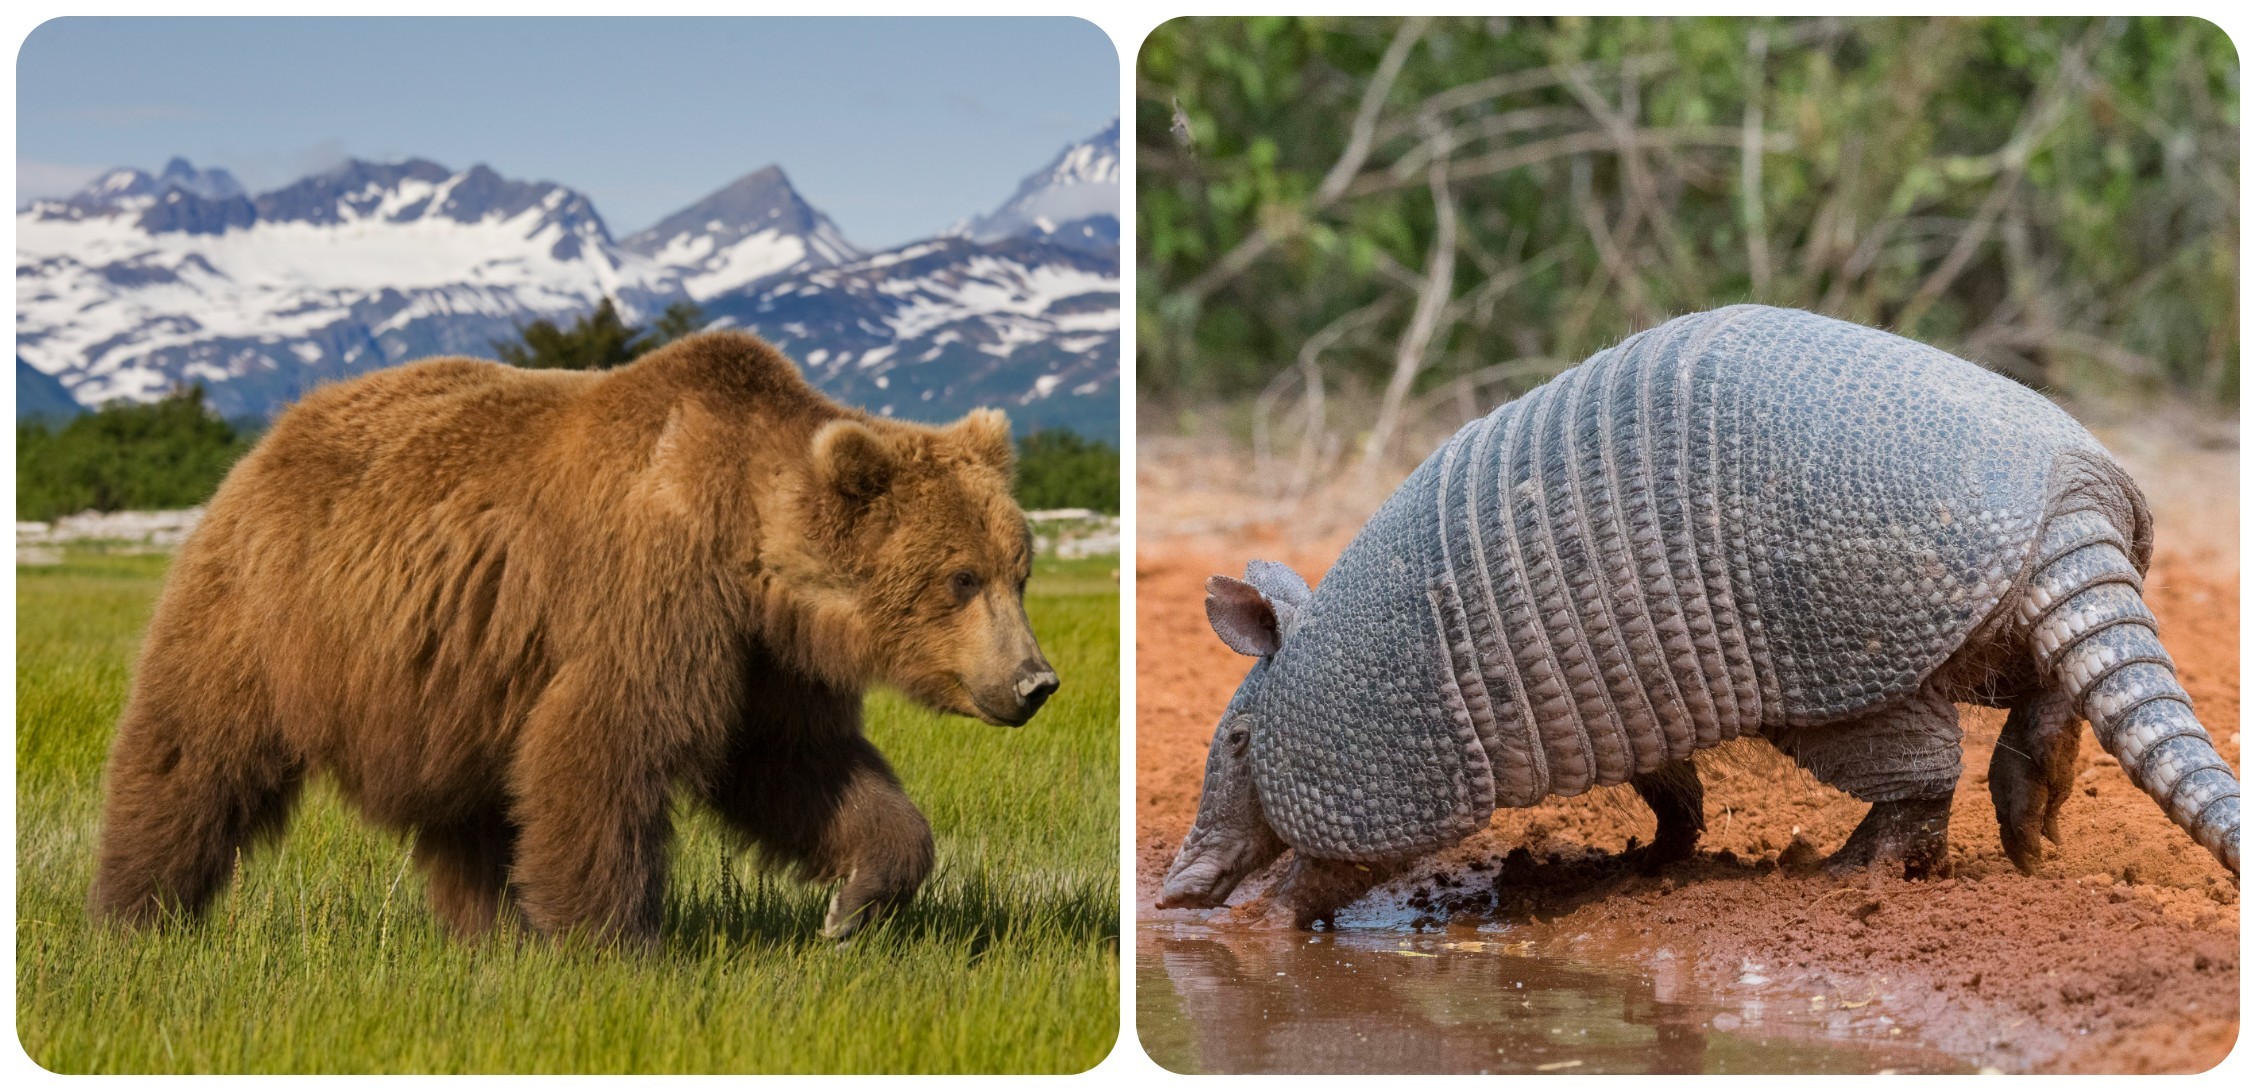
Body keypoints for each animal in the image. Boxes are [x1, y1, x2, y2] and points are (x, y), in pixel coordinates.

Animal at [88, 330, 1060, 943]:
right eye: (959, 577)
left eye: (1018, 568)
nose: (1033, 681)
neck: (745, 545)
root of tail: (275, 433)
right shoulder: (651, 594)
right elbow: (607, 747)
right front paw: (612, 942)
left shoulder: (765, 658)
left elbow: (799, 766)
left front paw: (854, 902)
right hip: (266, 606)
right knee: (194, 749)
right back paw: (136, 913)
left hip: (455, 675)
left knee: (472, 810)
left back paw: (492, 929)